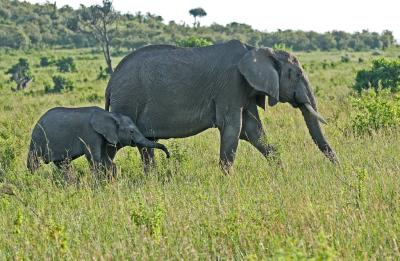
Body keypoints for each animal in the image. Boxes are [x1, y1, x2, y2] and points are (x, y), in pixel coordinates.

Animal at [27, 105, 169, 173]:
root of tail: (37, 122)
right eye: (132, 131)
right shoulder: (90, 134)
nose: (168, 156)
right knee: (33, 161)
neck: (110, 115)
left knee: (62, 164)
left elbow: (105, 159)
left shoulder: (103, 136)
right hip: (37, 139)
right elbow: (95, 159)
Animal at [104, 39, 340, 170]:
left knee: (146, 147)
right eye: (298, 74)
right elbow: (233, 128)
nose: (340, 170)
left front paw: (281, 172)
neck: (255, 50)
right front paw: (226, 180)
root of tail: (110, 83)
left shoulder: (245, 90)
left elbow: (254, 132)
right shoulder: (231, 85)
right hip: (127, 101)